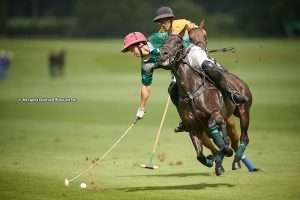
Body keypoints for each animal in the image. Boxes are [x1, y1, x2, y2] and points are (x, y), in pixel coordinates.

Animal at [158, 24, 252, 176]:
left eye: (178, 42)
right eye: (164, 41)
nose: (163, 54)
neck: (191, 91)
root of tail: (238, 80)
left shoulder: (217, 114)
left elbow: (221, 137)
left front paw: (223, 154)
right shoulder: (193, 127)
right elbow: (200, 155)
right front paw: (212, 160)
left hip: (244, 112)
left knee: (244, 137)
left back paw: (236, 161)